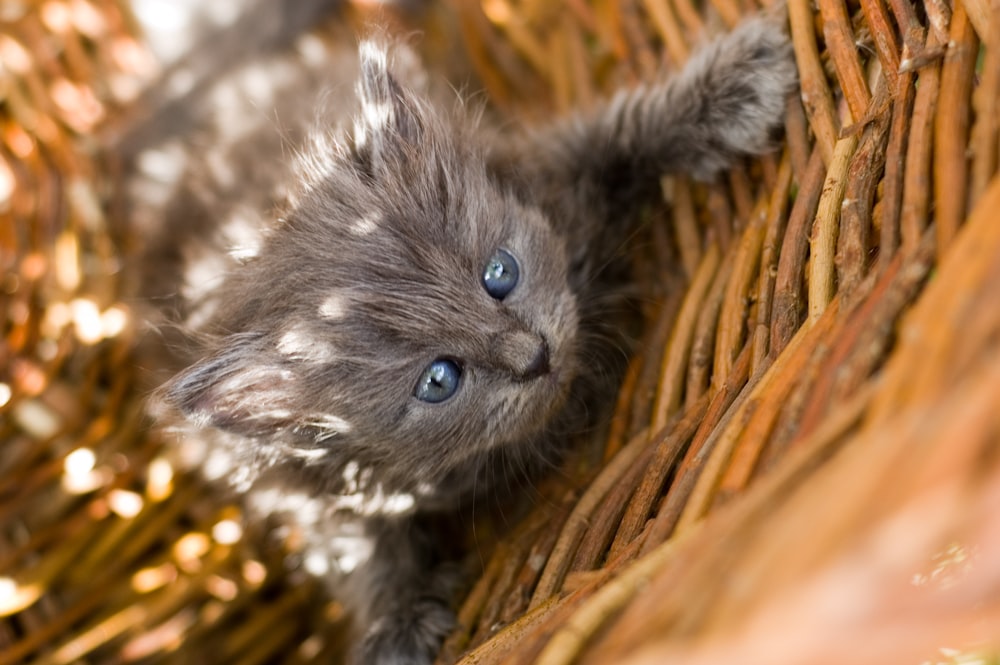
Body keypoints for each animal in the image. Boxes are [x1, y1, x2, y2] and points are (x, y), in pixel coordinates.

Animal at [131, 11, 796, 664]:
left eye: (500, 273)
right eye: (438, 380)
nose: (534, 356)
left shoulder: (541, 165)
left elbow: (617, 133)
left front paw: (733, 84)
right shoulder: (305, 490)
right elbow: (355, 550)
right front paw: (396, 623)